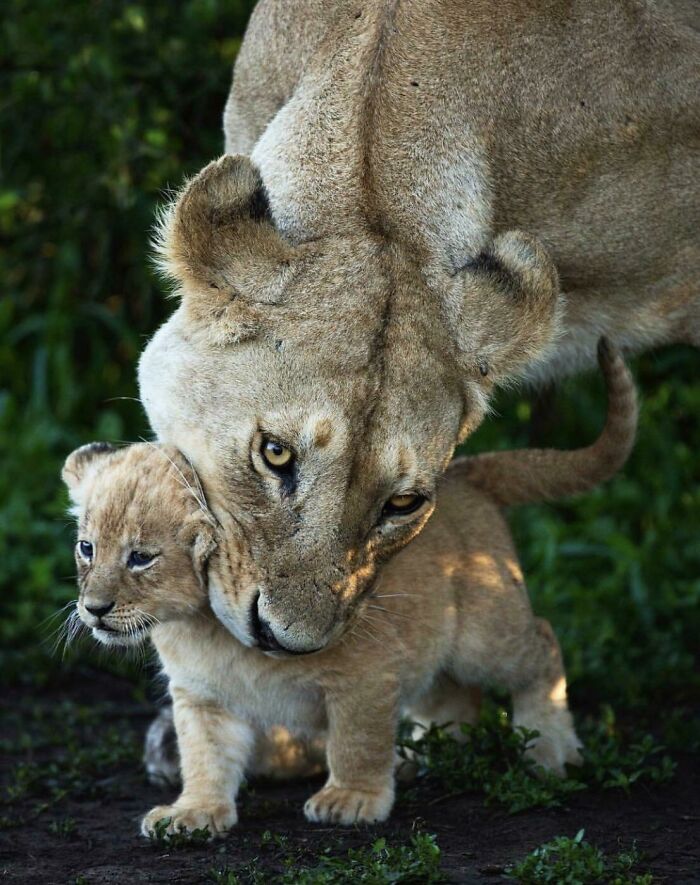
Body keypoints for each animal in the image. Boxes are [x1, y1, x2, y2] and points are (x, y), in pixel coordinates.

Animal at [67, 339, 636, 834]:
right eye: (87, 548)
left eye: (141, 558)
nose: (93, 609)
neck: (204, 628)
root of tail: (466, 474)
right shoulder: (203, 699)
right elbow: (204, 758)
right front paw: (193, 814)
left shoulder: (365, 675)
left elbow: (356, 742)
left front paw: (352, 799)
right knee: (453, 695)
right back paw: (426, 757)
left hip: (484, 636)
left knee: (540, 644)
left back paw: (552, 752)